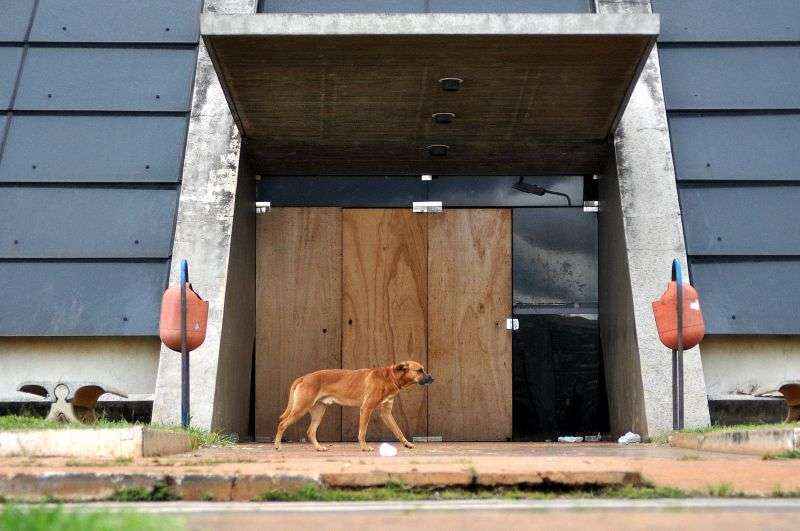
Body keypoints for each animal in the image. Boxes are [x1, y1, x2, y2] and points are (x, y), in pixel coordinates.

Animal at [276, 360, 438, 450]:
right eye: (420, 370)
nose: (432, 378)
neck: (389, 377)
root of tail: (303, 378)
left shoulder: (386, 413)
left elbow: (398, 430)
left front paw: (407, 444)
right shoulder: (366, 409)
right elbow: (362, 432)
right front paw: (365, 447)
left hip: (318, 412)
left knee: (310, 431)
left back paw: (318, 448)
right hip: (300, 409)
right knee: (282, 424)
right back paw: (277, 445)